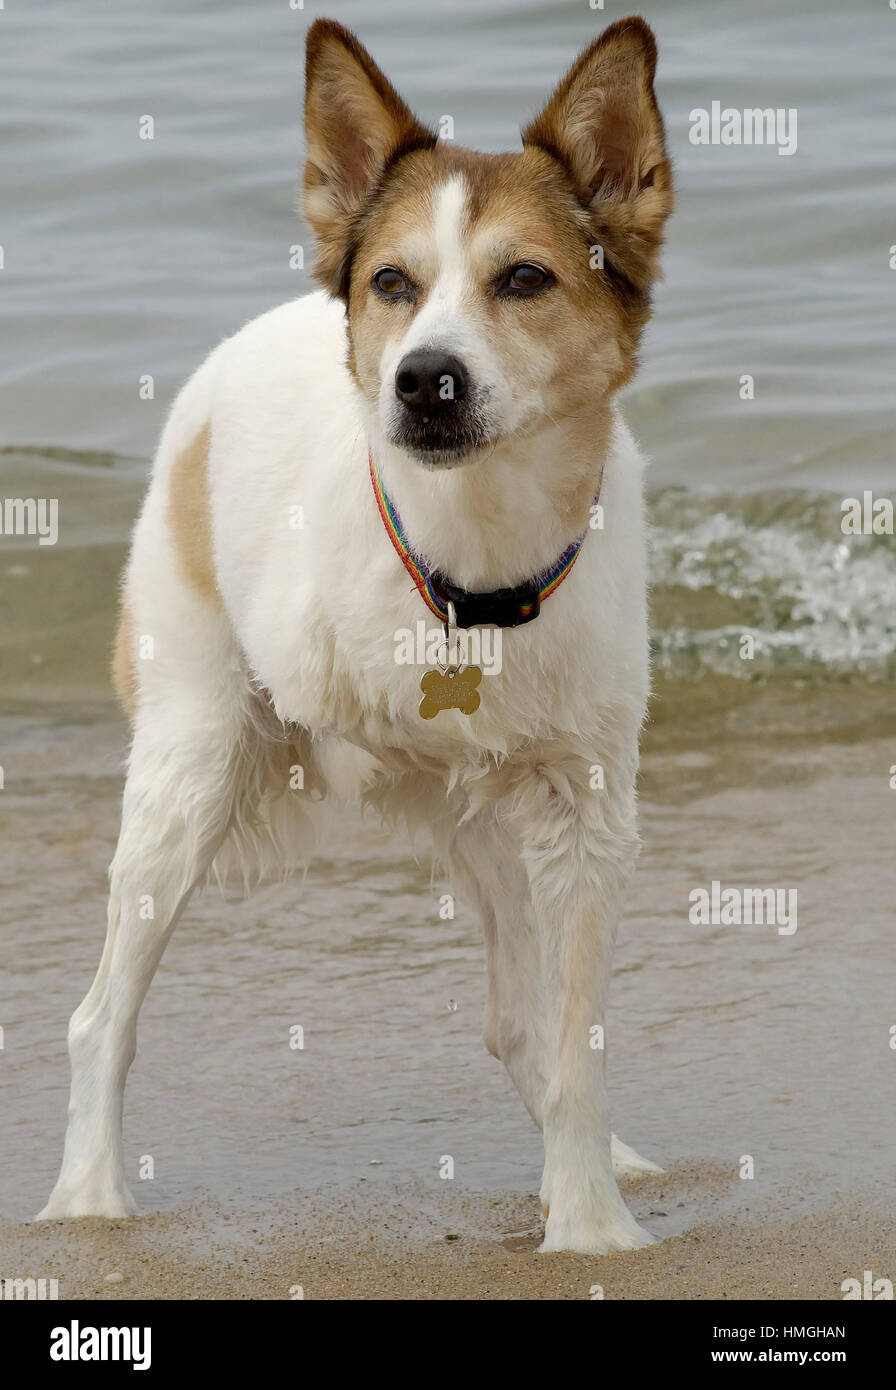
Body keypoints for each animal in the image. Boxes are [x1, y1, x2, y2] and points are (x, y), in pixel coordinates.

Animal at [40, 13, 672, 1251]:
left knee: (517, 1020)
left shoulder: (580, 808)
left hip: (474, 820)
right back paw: (88, 1199)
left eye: (523, 279)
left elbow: (572, 1037)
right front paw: (587, 1219)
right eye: (393, 282)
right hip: (189, 765)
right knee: (101, 1016)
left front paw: (585, 1215)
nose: (423, 378)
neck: (469, 570)